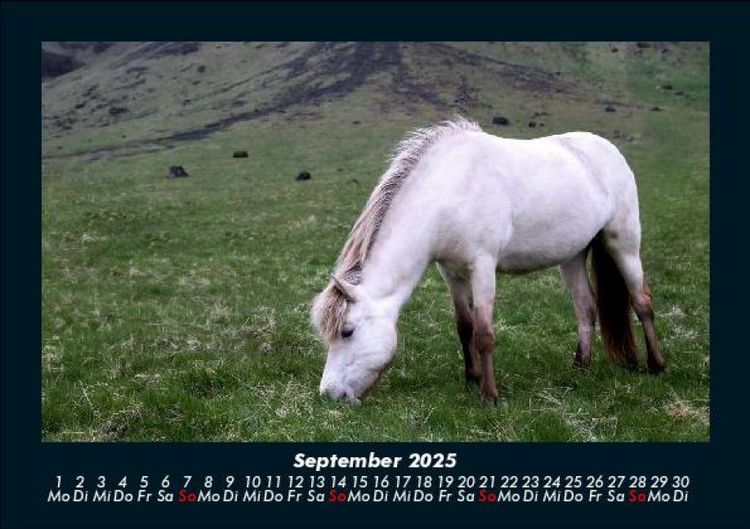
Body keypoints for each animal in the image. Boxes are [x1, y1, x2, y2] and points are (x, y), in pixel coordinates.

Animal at [311, 118, 665, 405]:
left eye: (347, 332)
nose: (329, 394)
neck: (449, 190)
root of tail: (608, 149)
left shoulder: (482, 267)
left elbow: (483, 334)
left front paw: (490, 395)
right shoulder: (451, 272)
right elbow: (464, 326)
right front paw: (472, 378)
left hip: (624, 242)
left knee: (641, 302)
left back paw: (657, 365)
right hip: (573, 256)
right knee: (586, 307)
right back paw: (581, 367)